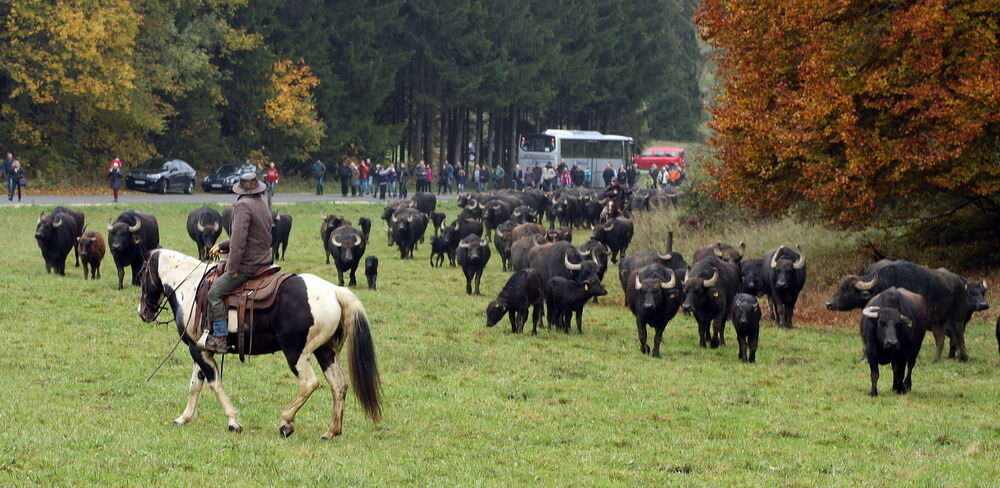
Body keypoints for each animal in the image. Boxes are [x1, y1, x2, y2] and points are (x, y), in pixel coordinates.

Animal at [137, 250, 378, 436]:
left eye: (141, 275)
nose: (142, 312)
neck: (191, 288)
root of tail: (335, 291)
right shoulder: (200, 349)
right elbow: (195, 385)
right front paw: (184, 418)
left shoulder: (197, 349)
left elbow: (214, 384)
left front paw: (233, 421)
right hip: (326, 351)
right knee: (338, 386)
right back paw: (332, 431)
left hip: (296, 353)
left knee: (309, 383)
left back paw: (285, 422)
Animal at [828, 260, 976, 362]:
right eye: (839, 287)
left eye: (846, 289)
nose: (828, 304)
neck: (884, 283)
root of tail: (961, 283)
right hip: (936, 321)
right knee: (940, 337)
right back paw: (936, 360)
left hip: (957, 318)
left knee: (959, 335)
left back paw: (963, 357)